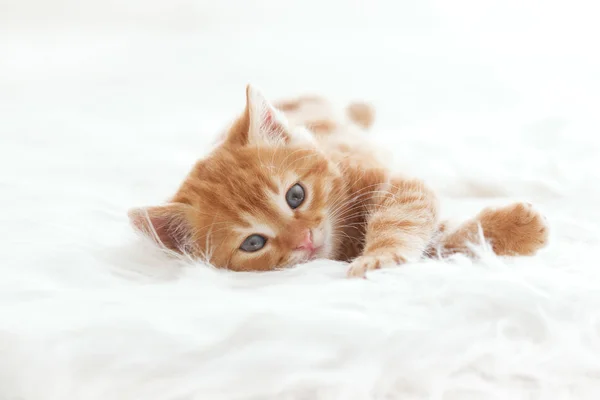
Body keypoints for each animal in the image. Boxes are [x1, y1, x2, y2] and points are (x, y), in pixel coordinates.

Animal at [130, 85, 548, 278]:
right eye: (253, 243)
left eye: (295, 195)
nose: (304, 240)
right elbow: (442, 239)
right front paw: (513, 229)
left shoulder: (395, 182)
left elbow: (407, 217)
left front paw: (379, 255)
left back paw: (362, 109)